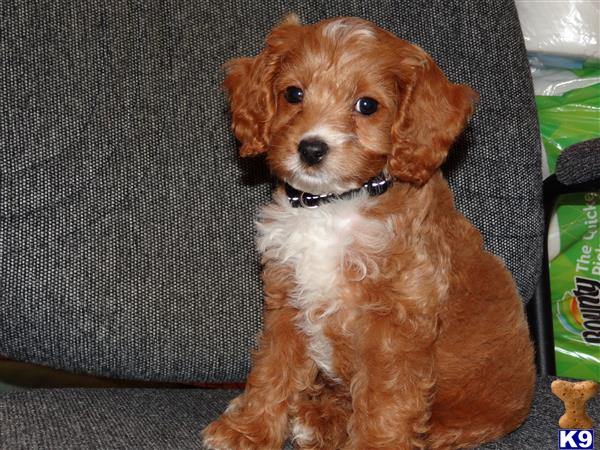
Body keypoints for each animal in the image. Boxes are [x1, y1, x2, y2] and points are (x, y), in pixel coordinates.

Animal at [205, 14, 536, 450]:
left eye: (367, 105)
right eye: (293, 94)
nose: (311, 149)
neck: (333, 204)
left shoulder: (397, 321)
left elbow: (385, 399)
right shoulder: (288, 299)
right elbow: (274, 367)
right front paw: (248, 430)